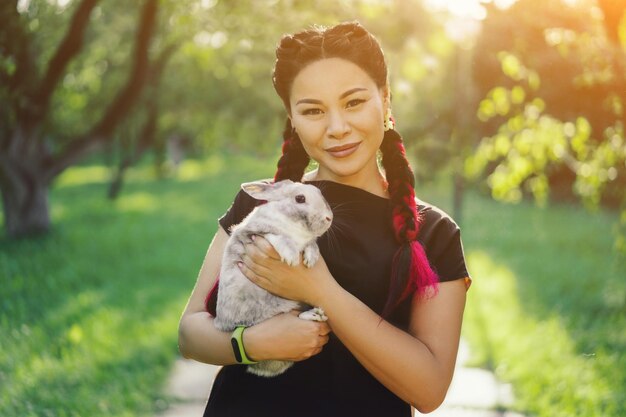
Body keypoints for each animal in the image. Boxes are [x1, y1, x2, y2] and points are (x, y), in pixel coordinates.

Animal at [213, 179, 332, 376]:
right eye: (300, 198)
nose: (329, 218)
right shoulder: (257, 233)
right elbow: (279, 236)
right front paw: (291, 257)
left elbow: (312, 243)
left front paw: (311, 259)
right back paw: (314, 315)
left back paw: (317, 314)